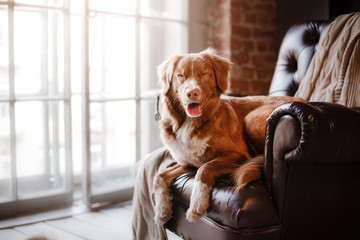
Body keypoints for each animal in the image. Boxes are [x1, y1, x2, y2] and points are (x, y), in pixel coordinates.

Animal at [152, 48, 304, 225]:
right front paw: (162, 211)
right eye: (181, 75)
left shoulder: (237, 154)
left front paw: (197, 204)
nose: (192, 93)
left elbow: (205, 168)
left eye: (204, 74)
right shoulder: (188, 162)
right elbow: (159, 176)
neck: (192, 122)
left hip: (251, 119)